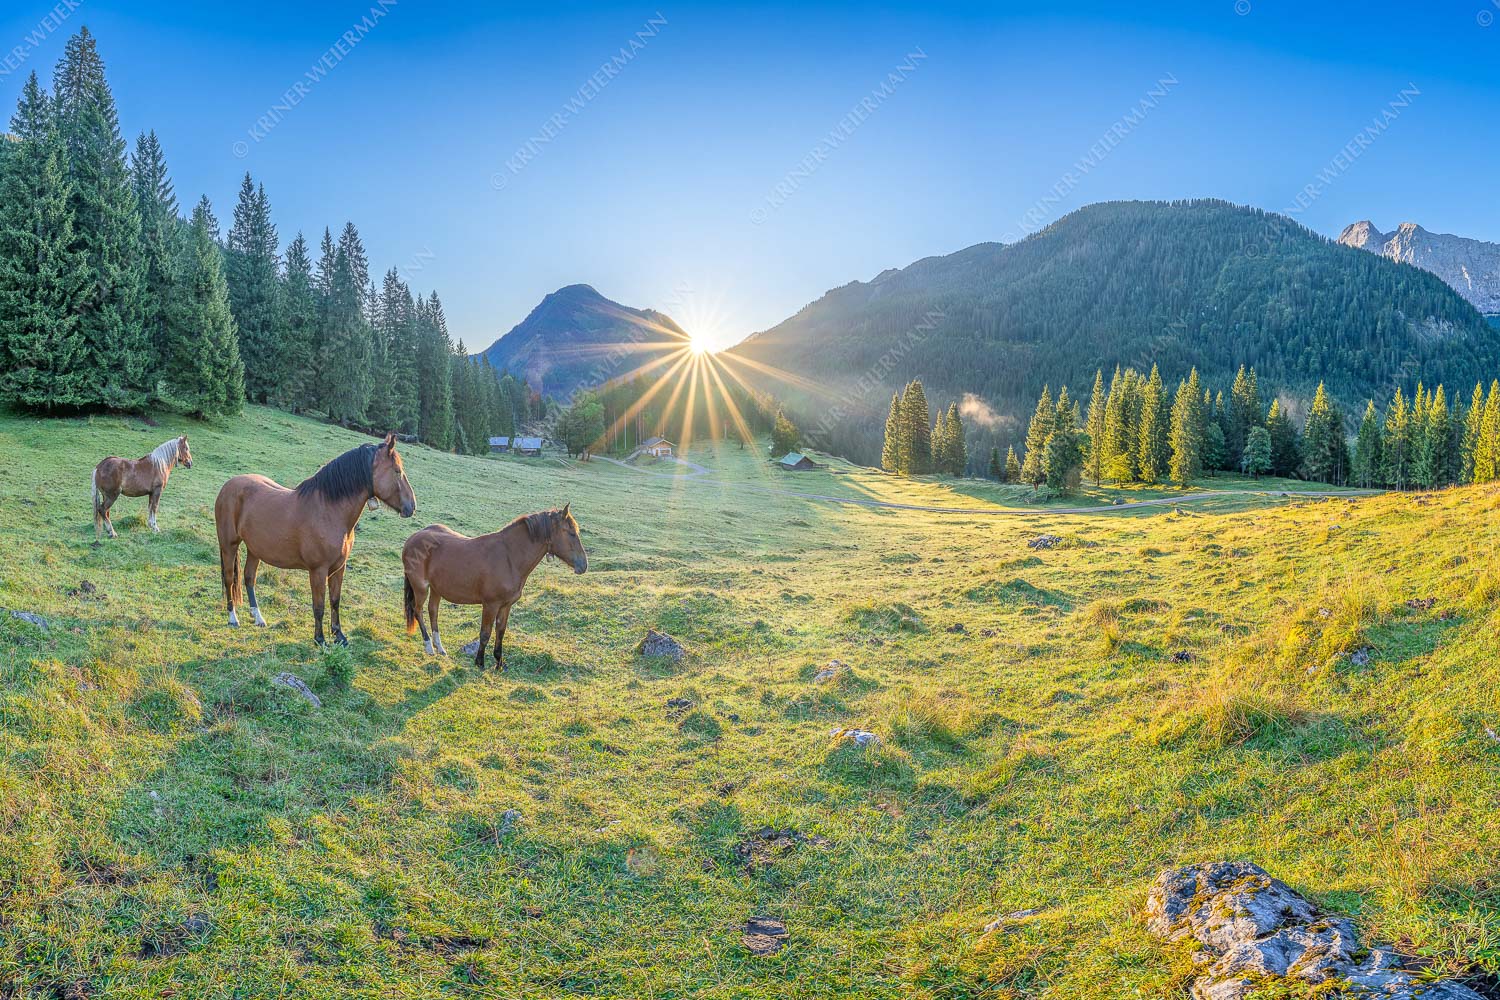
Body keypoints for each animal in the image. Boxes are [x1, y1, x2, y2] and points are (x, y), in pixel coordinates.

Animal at [215, 434, 416, 646]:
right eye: (397, 471)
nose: (412, 506)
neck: (329, 510)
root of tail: (229, 485)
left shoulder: (339, 568)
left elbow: (335, 601)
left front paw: (339, 635)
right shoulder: (318, 571)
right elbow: (319, 605)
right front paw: (320, 639)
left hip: (255, 549)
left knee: (249, 578)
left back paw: (258, 618)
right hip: (229, 545)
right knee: (229, 578)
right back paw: (233, 618)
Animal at [402, 505, 587, 669]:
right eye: (571, 533)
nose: (584, 565)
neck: (509, 557)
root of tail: (413, 538)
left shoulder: (506, 605)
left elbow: (500, 631)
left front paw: (499, 663)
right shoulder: (490, 605)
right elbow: (485, 633)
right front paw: (480, 663)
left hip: (436, 589)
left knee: (433, 611)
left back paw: (440, 647)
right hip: (421, 587)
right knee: (418, 611)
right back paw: (428, 647)